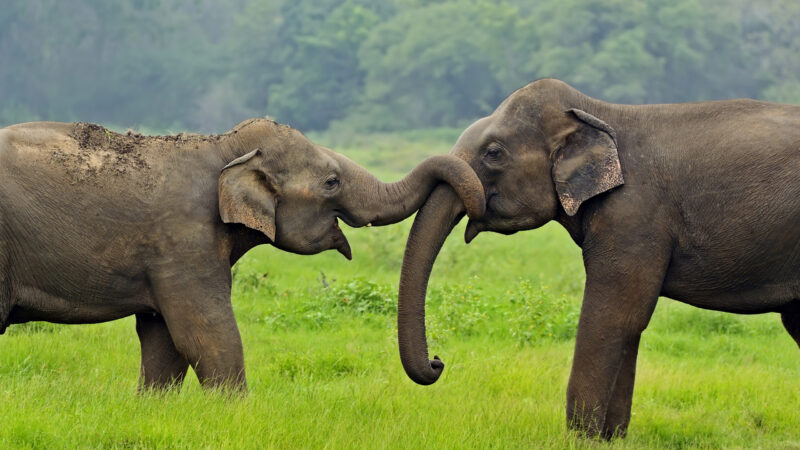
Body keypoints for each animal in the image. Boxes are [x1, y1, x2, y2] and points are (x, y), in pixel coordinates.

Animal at [0, 118, 485, 391]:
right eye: (331, 182)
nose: (439, 361)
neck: (225, 147)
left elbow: (163, 340)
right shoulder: (183, 238)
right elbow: (206, 335)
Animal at [395, 78, 800, 439]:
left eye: (493, 153)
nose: (438, 361)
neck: (598, 113)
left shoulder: (635, 216)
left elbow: (615, 316)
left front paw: (580, 439)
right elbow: (629, 325)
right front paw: (610, 439)